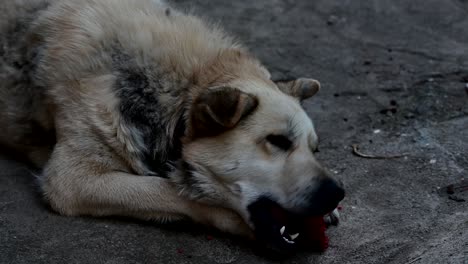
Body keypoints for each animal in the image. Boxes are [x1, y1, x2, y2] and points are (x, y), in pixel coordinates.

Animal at [0, 0, 344, 253]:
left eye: (314, 149)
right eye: (278, 141)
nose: (338, 193)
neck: (181, 88)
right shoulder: (72, 180)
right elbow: (167, 190)